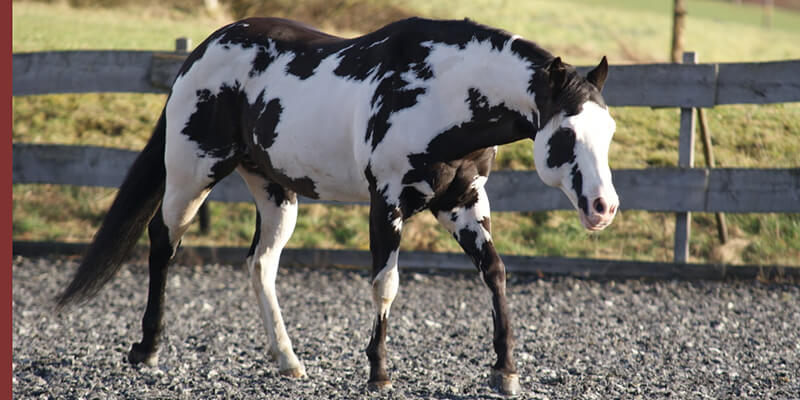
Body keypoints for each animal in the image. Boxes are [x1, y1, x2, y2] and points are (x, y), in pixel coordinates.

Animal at [56, 16, 618, 396]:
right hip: (192, 174)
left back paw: (287, 360)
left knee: (260, 264)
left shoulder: (462, 203)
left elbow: (495, 272)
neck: (442, 91)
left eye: (609, 130)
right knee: (161, 243)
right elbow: (386, 285)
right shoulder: (386, 203)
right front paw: (379, 373)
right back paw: (148, 349)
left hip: (275, 193)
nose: (603, 207)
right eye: (566, 134)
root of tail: (202, 52)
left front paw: (505, 371)